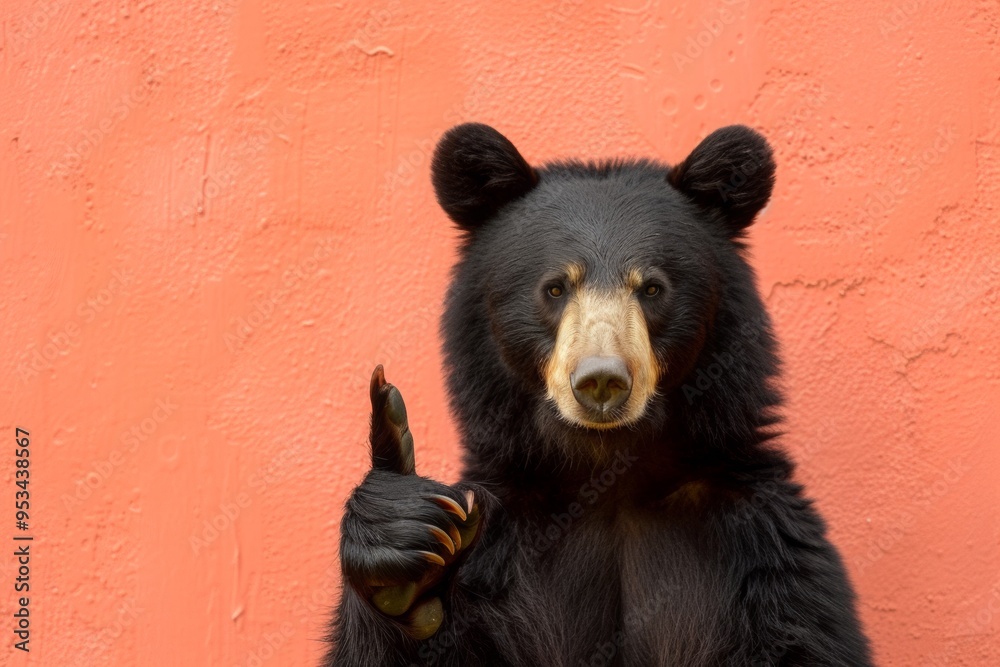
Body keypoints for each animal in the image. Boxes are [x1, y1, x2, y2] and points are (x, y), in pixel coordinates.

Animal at [325, 123, 873, 666]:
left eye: (652, 289)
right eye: (554, 288)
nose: (602, 381)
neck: (607, 471)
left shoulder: (765, 551)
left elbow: (804, 638)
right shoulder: (497, 547)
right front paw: (403, 563)